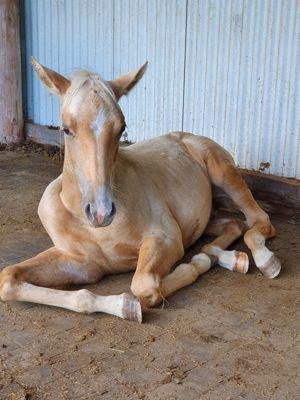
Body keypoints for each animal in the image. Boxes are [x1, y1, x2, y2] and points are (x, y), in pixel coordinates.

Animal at [0, 59, 282, 322]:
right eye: (66, 129)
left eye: (121, 128)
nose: (101, 213)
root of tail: (189, 136)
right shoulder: (81, 263)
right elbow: (9, 278)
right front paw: (119, 305)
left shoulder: (167, 238)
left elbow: (144, 286)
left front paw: (130, 304)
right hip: (202, 220)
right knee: (234, 225)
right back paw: (227, 257)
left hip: (225, 174)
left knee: (258, 221)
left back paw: (264, 261)